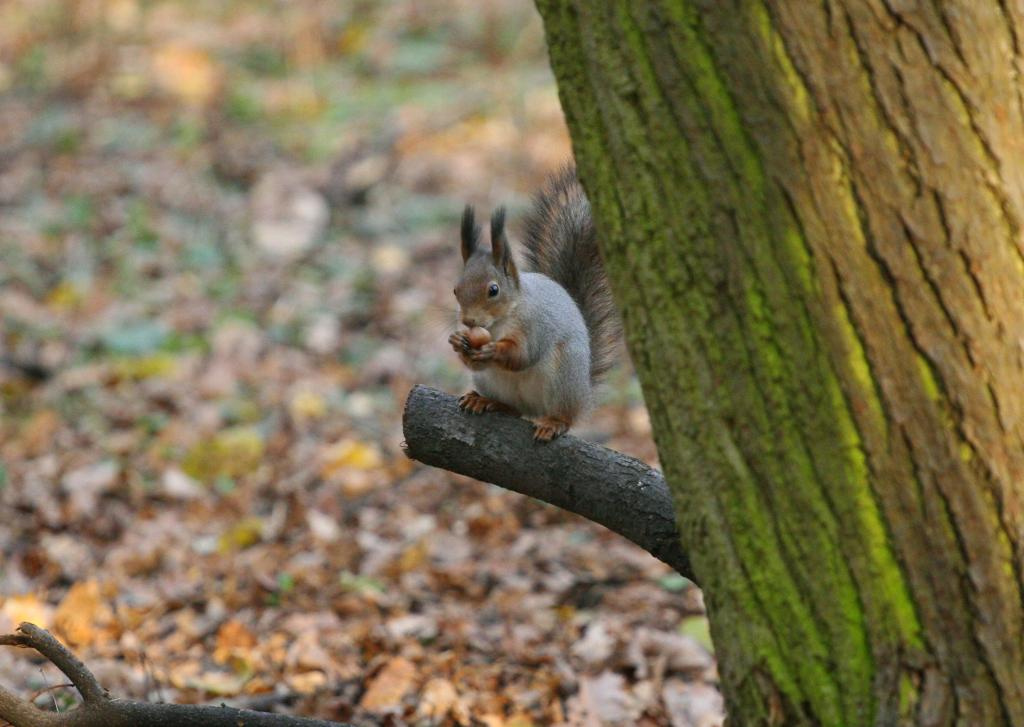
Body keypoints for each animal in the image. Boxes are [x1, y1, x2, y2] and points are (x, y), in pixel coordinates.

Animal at [447, 165, 621, 441]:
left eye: (493, 290)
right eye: (456, 289)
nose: (468, 321)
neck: (500, 322)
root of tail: (584, 395)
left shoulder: (536, 325)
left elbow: (523, 355)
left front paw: (494, 350)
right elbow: (474, 362)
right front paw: (459, 342)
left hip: (563, 377)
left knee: (565, 416)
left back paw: (554, 422)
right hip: (490, 382)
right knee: (513, 409)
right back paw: (486, 401)